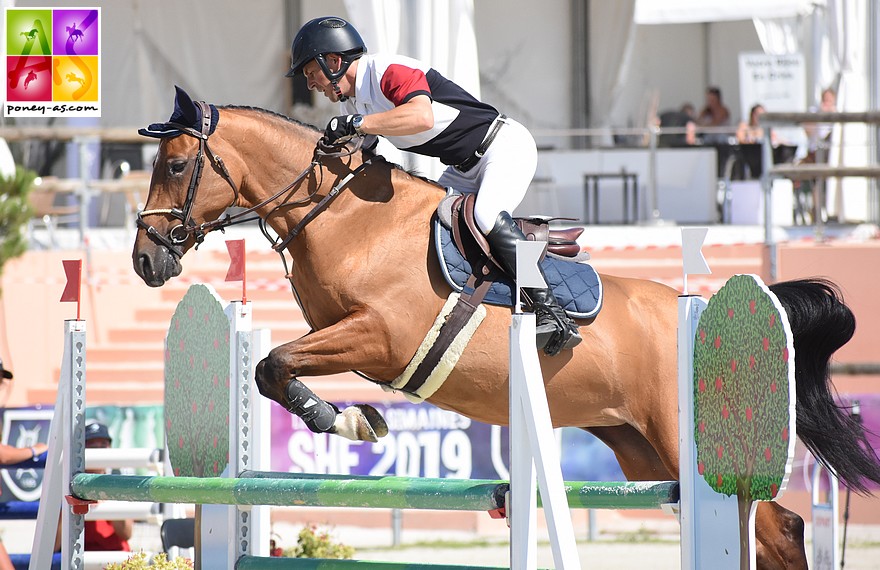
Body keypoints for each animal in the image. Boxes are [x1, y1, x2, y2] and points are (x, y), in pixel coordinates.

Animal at [132, 91, 880, 564]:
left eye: (177, 165)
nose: (144, 259)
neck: (343, 214)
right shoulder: (347, 336)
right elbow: (272, 368)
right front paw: (350, 419)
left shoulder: (379, 336)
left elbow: (274, 365)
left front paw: (347, 421)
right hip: (642, 450)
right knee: (760, 528)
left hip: (680, 439)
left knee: (779, 526)